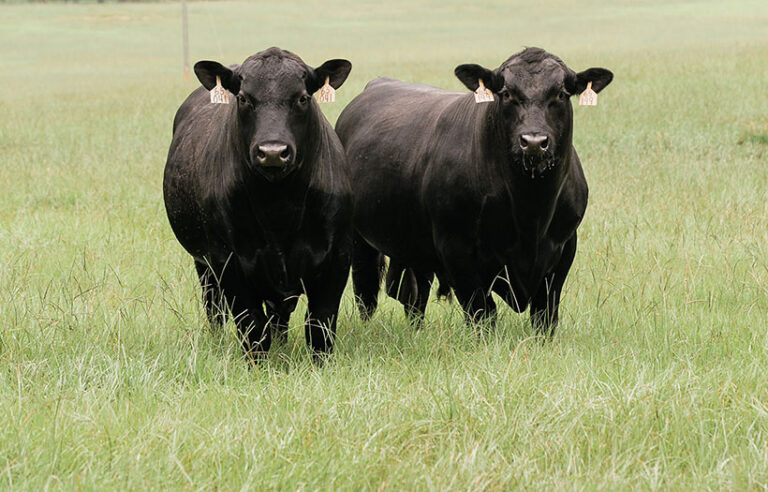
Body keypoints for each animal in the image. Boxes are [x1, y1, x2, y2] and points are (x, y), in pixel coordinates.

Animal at [165, 47, 354, 358]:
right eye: (243, 98)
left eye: (303, 98)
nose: (273, 152)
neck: (279, 208)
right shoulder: (228, 260)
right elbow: (252, 325)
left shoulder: (337, 256)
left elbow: (320, 324)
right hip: (203, 264)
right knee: (214, 307)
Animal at [336, 48, 612, 334]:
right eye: (506, 93)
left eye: (560, 93)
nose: (534, 142)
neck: (531, 212)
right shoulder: (457, 249)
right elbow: (483, 312)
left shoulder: (564, 247)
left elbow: (545, 314)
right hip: (360, 240)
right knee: (366, 291)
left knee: (415, 295)